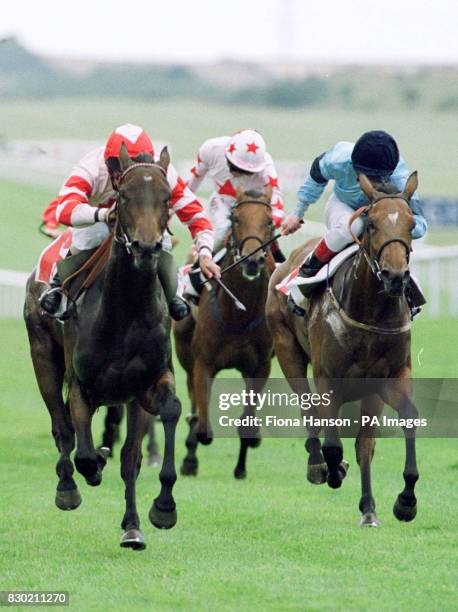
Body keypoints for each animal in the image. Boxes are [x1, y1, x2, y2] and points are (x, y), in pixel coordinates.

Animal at [23, 145, 181, 548]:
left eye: (167, 197)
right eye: (123, 196)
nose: (146, 247)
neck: (124, 312)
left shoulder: (146, 385)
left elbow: (138, 450)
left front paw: (150, 516)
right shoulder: (83, 386)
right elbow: (81, 448)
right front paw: (89, 470)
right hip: (43, 358)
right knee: (61, 426)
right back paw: (68, 486)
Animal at [174, 185, 276, 478]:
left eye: (269, 221)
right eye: (236, 219)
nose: (253, 261)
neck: (240, 315)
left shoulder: (260, 367)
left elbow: (248, 424)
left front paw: (242, 465)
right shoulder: (203, 364)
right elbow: (203, 428)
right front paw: (191, 455)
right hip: (185, 354)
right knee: (194, 405)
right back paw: (189, 458)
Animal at [266, 172, 420, 524]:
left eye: (411, 223)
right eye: (372, 224)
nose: (395, 276)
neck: (370, 312)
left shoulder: (389, 377)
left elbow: (402, 422)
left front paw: (404, 501)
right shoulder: (328, 378)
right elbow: (333, 442)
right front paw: (332, 470)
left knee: (363, 442)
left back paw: (368, 506)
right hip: (287, 350)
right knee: (309, 410)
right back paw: (318, 465)